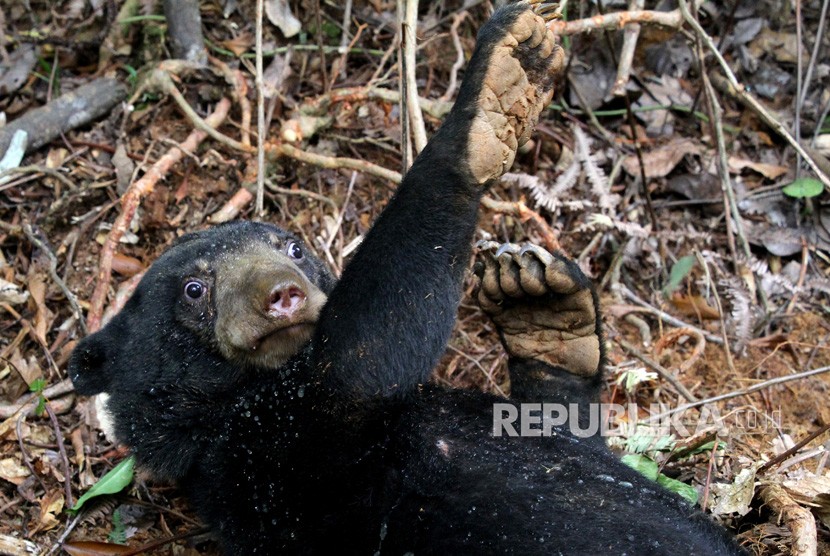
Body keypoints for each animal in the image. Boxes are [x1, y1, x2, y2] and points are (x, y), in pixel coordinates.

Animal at [71, 2, 744, 552]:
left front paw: (543, 310)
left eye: (293, 247)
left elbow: (564, 431)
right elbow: (371, 349)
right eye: (195, 290)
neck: (246, 394)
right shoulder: (276, 451)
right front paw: (492, 90)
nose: (284, 295)